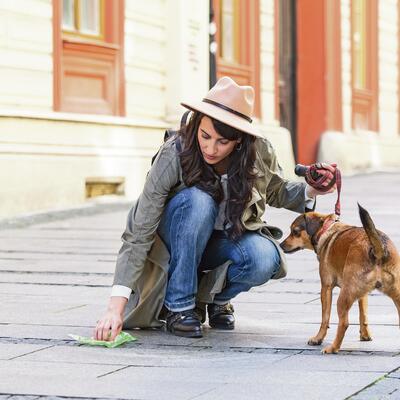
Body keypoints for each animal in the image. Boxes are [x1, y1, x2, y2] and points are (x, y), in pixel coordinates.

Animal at [282, 205, 400, 354]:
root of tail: (378, 249)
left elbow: (325, 318)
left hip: (344, 295)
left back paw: (333, 348)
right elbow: (363, 315)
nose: (281, 245)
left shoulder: (326, 287)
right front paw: (365, 335)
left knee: (344, 323)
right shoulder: (362, 294)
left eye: (295, 232)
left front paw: (318, 338)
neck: (326, 229)